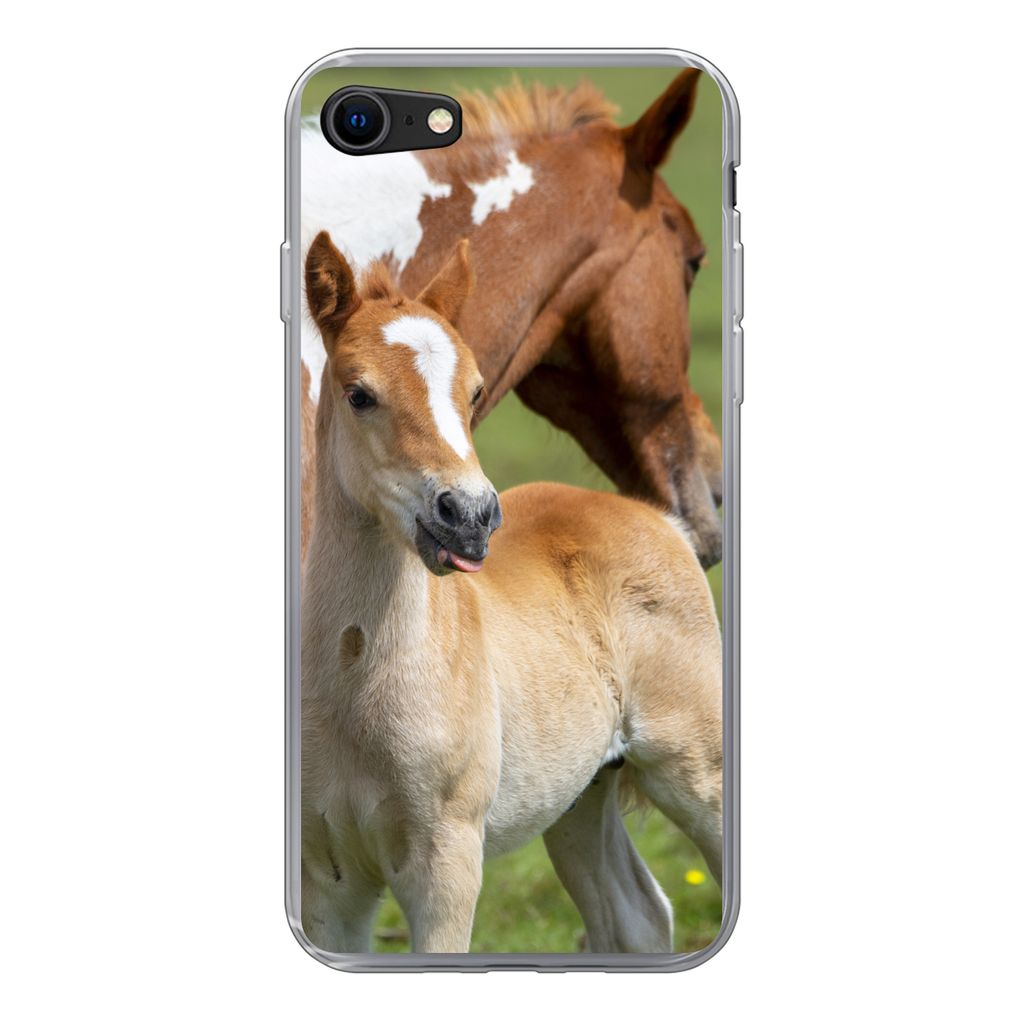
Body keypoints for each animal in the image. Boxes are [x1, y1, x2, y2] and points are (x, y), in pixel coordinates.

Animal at [300, 230, 722, 954]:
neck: (358, 680)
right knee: (635, 915)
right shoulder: (329, 878)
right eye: (359, 394)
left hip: (702, 772)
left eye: (474, 391)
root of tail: (658, 518)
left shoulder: (446, 862)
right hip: (581, 791)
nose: (468, 517)